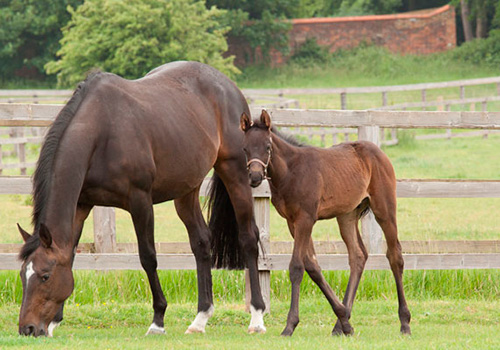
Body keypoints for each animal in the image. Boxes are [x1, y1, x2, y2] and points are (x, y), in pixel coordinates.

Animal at [15, 61, 266, 338]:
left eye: (45, 276)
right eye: (23, 275)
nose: (28, 328)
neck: (101, 134)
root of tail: (229, 86)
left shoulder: (140, 202)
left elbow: (148, 257)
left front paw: (158, 319)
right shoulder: (81, 204)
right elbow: (69, 255)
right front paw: (54, 322)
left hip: (236, 173)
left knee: (248, 238)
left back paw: (257, 317)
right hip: (186, 190)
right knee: (201, 242)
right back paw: (200, 318)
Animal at [241, 111, 410, 336]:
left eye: (267, 146)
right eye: (245, 148)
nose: (255, 176)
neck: (291, 172)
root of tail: (378, 152)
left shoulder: (305, 219)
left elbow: (296, 267)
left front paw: (289, 325)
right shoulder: (292, 222)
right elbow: (312, 266)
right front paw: (344, 318)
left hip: (384, 209)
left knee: (395, 256)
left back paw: (405, 322)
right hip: (347, 215)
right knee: (358, 256)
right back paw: (340, 325)